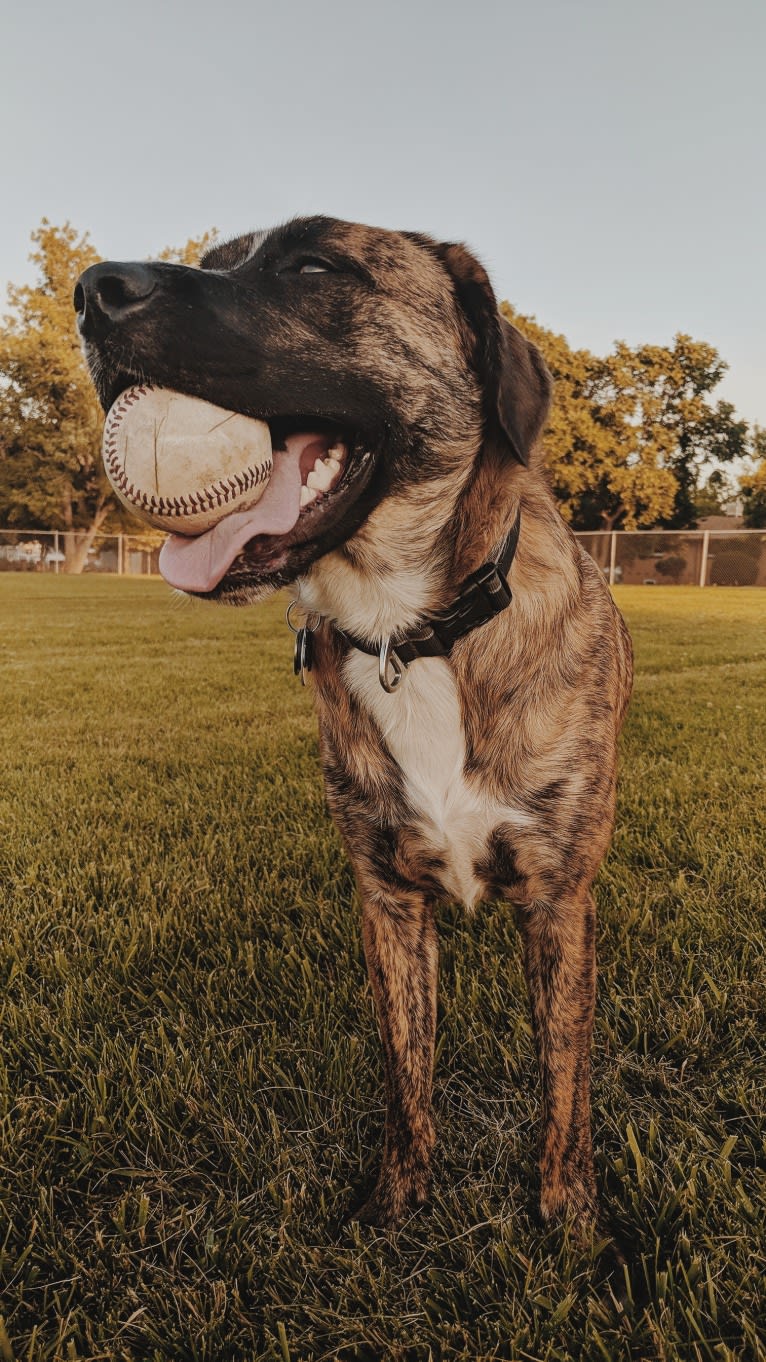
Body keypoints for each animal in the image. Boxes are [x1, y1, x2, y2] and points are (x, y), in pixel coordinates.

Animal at [74, 212, 632, 1236]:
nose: (93, 290)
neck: (407, 631)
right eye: (215, 263)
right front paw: (397, 1197)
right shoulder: (388, 901)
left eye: (313, 265)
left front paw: (568, 1213)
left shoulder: (559, 903)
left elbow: (564, 1083)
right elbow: (405, 1071)